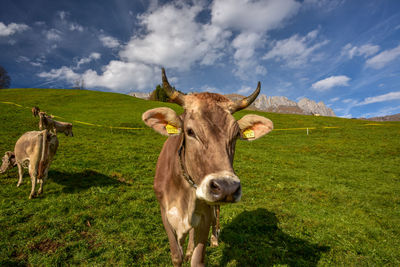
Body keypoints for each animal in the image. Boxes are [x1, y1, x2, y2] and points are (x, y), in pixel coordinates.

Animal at [142, 68, 274, 266]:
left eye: (236, 135)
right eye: (189, 131)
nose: (227, 187)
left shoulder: (204, 217)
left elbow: (198, 259)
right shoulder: (165, 213)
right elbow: (176, 255)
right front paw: (183, 253)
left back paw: (214, 239)